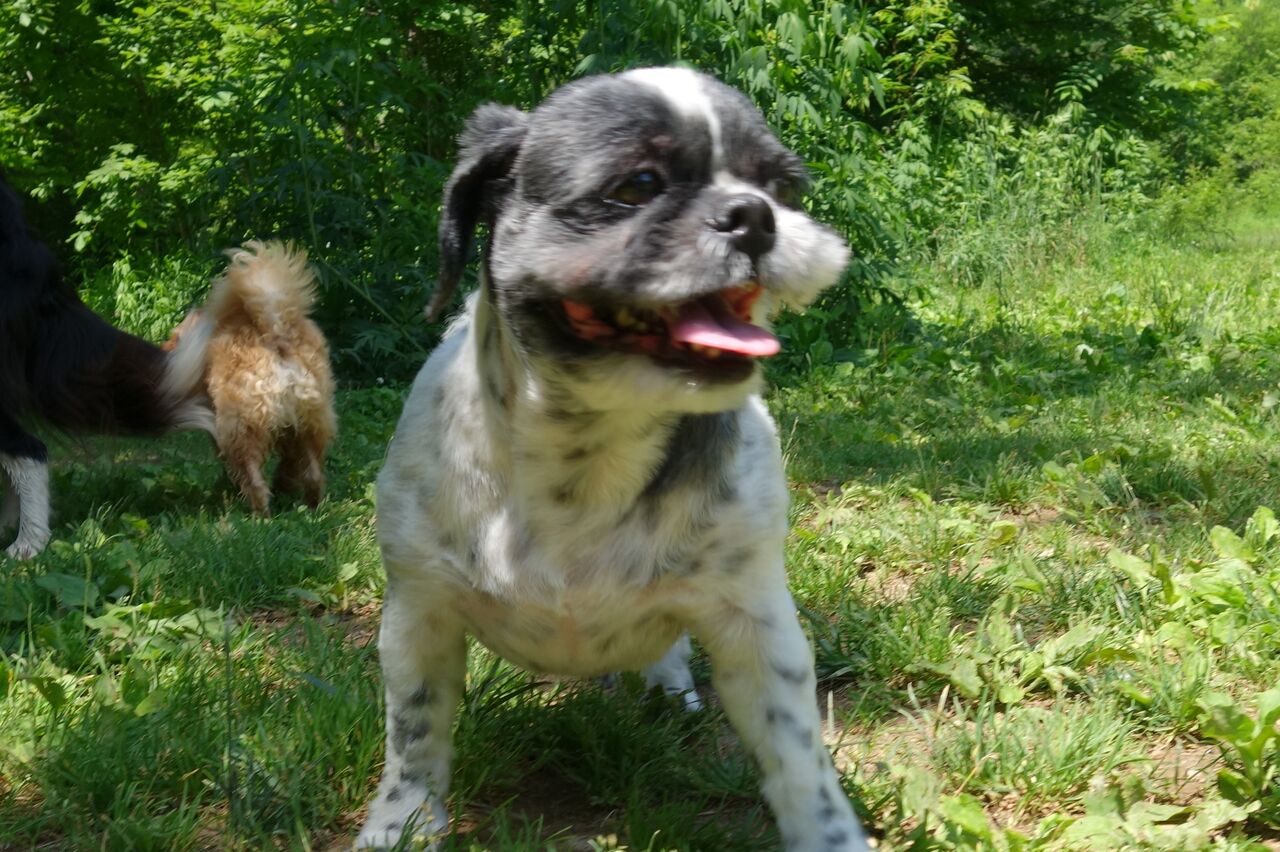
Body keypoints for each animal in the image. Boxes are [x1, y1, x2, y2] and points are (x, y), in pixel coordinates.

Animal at [166, 242, 336, 515]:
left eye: (175, 337)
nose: (164, 348)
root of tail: (274, 330)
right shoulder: (291, 430)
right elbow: (291, 465)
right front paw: (284, 485)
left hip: (241, 427)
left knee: (253, 478)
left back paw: (259, 514)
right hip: (311, 421)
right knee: (313, 473)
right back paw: (311, 508)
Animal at [357, 68, 870, 851]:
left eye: (780, 186)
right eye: (638, 184)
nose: (754, 215)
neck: (590, 455)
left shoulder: (757, 630)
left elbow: (798, 760)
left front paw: (829, 835)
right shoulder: (419, 615)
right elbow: (414, 738)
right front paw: (401, 824)